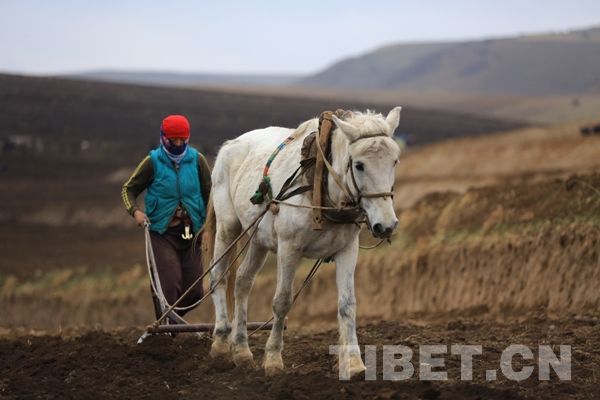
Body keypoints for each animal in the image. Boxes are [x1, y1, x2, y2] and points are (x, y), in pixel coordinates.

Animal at [203, 107, 404, 378]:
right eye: (359, 165)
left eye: (394, 161)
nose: (387, 225)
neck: (322, 188)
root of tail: (229, 145)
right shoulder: (289, 248)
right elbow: (282, 302)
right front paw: (273, 359)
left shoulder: (347, 249)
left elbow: (347, 304)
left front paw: (354, 364)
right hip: (228, 228)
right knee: (219, 276)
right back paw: (221, 343)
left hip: (258, 238)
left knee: (243, 281)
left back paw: (242, 350)